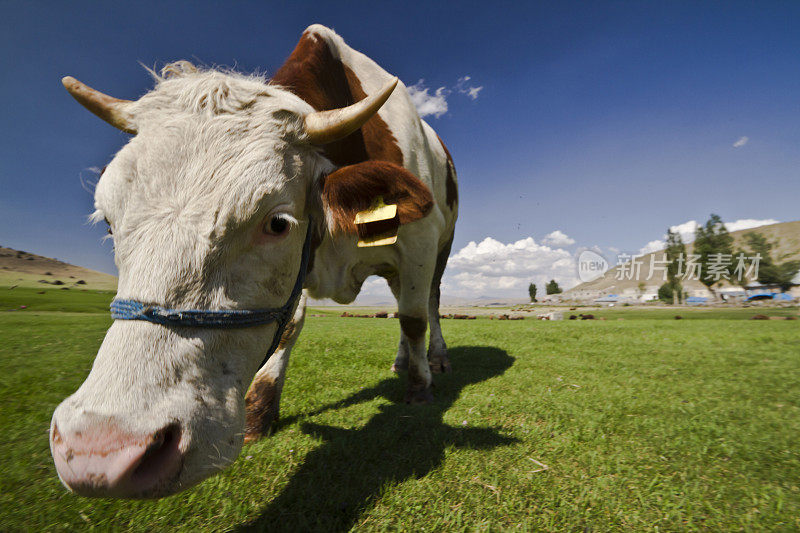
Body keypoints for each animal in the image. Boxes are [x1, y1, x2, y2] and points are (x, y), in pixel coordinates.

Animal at [50, 25, 460, 498]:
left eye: (278, 223)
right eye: (109, 222)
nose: (100, 449)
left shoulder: (420, 240)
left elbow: (413, 318)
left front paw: (420, 390)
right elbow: (290, 328)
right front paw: (261, 412)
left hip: (443, 248)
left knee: (429, 303)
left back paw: (433, 359)